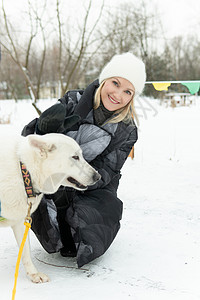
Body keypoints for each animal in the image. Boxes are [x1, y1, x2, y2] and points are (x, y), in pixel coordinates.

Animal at [0, 132, 100, 282]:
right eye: (75, 157)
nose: (98, 176)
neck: (25, 172)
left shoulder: (20, 221)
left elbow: (25, 251)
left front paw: (33, 273)